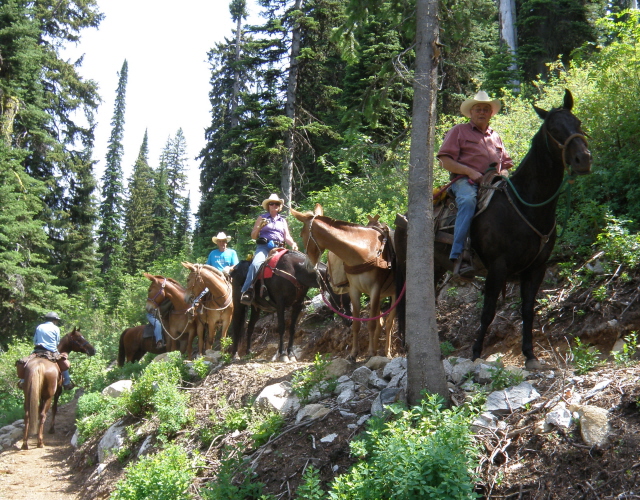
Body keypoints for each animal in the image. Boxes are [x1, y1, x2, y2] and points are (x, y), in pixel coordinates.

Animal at [290, 203, 396, 360]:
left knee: (388, 323)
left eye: (301, 234)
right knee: (381, 321)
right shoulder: (354, 290)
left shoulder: (375, 289)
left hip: (394, 294)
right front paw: (354, 353)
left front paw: (370, 352)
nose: (307, 265)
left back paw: (386, 352)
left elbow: (371, 324)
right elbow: (357, 324)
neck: (363, 251)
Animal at [398, 90, 592, 370]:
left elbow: (527, 310)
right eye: (553, 129)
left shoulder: (537, 268)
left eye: (577, 122)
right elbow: (488, 311)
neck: (525, 205)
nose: (583, 159)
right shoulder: (497, 267)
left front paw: (530, 355)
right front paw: (476, 353)